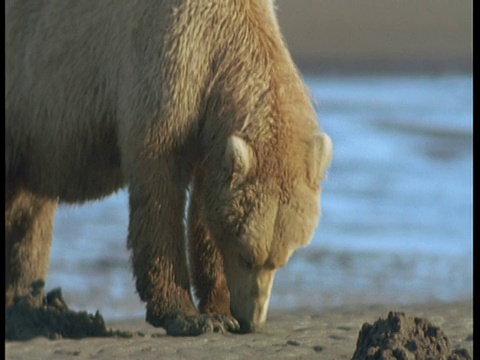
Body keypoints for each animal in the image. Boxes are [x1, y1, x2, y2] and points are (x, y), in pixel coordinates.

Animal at [5, 1, 332, 336]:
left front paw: (219, 310)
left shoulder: (207, 124)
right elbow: (159, 189)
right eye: (247, 256)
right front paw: (187, 315)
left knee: (29, 211)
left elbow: (205, 207)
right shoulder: (166, 63)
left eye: (281, 259)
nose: (251, 320)